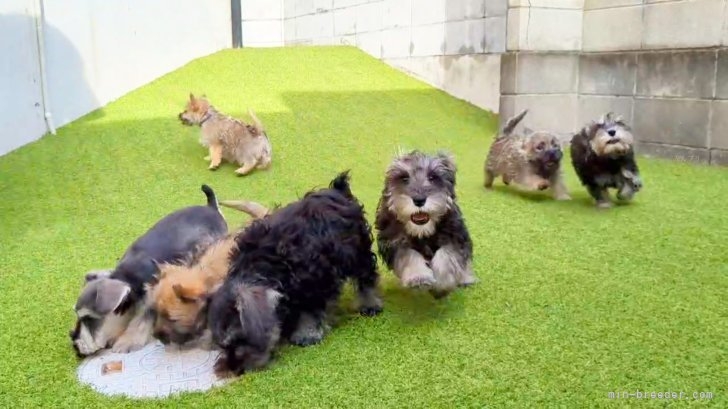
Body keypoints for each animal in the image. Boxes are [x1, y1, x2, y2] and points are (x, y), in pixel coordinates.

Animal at [70, 185, 228, 357]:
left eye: (89, 319)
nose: (74, 344)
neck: (128, 276)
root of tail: (211, 207)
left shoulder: (151, 294)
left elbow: (141, 320)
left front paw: (127, 341)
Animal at [207, 171, 383, 377]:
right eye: (222, 345)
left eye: (237, 340)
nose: (236, 369)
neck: (265, 266)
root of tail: (338, 190)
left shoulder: (314, 283)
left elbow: (310, 311)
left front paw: (307, 334)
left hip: (358, 251)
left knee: (367, 277)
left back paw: (370, 304)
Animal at [375, 150, 475, 299]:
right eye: (404, 178)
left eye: (433, 177)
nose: (419, 200)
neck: (422, 231)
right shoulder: (394, 241)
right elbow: (408, 256)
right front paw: (418, 278)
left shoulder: (455, 237)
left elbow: (446, 256)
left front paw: (442, 283)